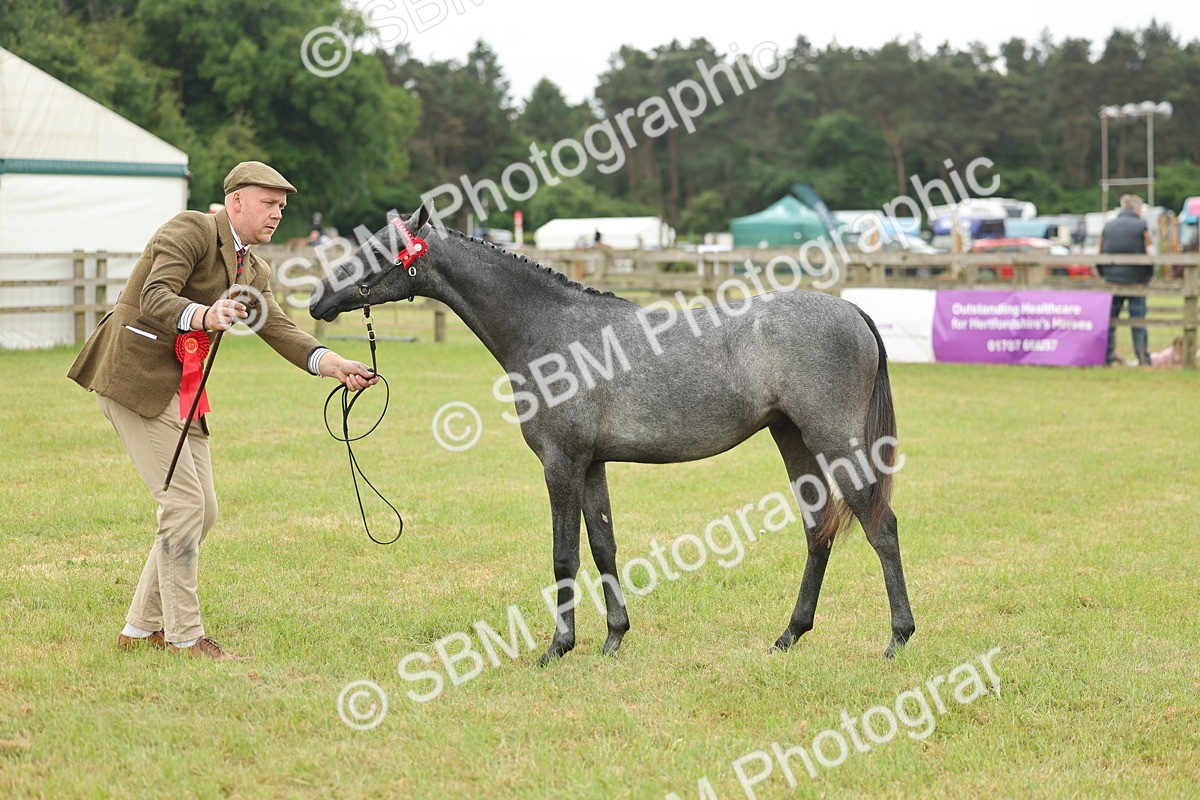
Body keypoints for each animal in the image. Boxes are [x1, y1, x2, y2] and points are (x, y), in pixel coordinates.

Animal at [309, 204, 915, 664]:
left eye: (377, 251)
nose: (317, 299)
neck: (551, 331)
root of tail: (853, 311)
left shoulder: (561, 462)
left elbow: (564, 555)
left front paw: (558, 647)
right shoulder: (592, 463)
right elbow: (603, 546)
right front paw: (614, 638)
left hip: (836, 443)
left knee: (880, 526)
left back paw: (897, 639)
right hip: (793, 440)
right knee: (818, 532)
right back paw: (790, 634)